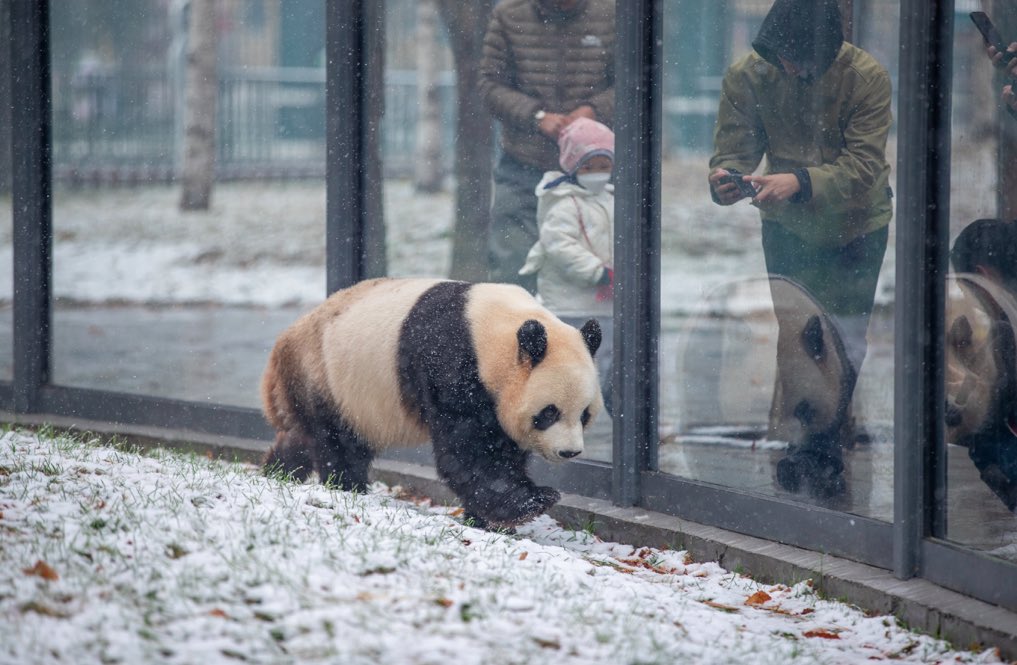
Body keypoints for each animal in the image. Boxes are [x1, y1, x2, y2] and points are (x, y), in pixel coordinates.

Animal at [260, 277, 604, 528]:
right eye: (549, 412)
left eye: (585, 414)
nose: (569, 452)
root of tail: (279, 350)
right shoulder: (451, 364)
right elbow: (467, 451)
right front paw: (533, 501)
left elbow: (499, 447)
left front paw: (483, 518)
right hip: (327, 378)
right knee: (338, 443)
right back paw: (347, 488)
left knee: (301, 437)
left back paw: (277, 472)